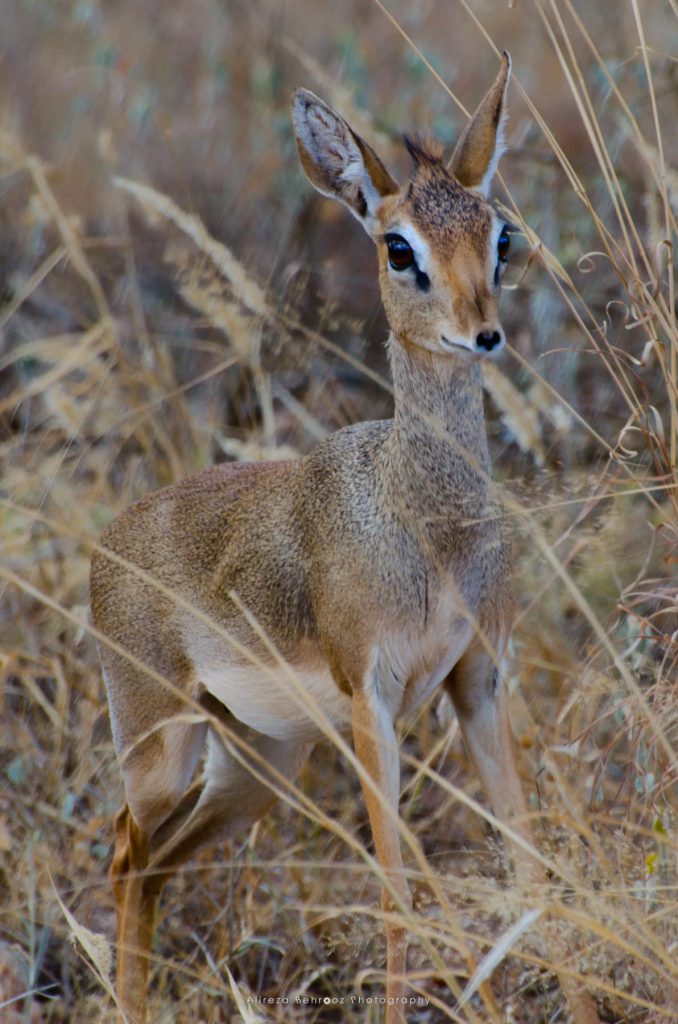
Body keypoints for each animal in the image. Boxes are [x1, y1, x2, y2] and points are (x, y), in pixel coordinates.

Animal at [91, 54, 602, 1024]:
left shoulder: (478, 682)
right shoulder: (375, 700)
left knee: (153, 869)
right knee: (123, 858)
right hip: (162, 754)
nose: (484, 332)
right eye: (399, 247)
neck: (425, 531)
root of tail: (109, 545)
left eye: (500, 233)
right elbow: (397, 894)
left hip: (259, 764)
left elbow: (530, 872)